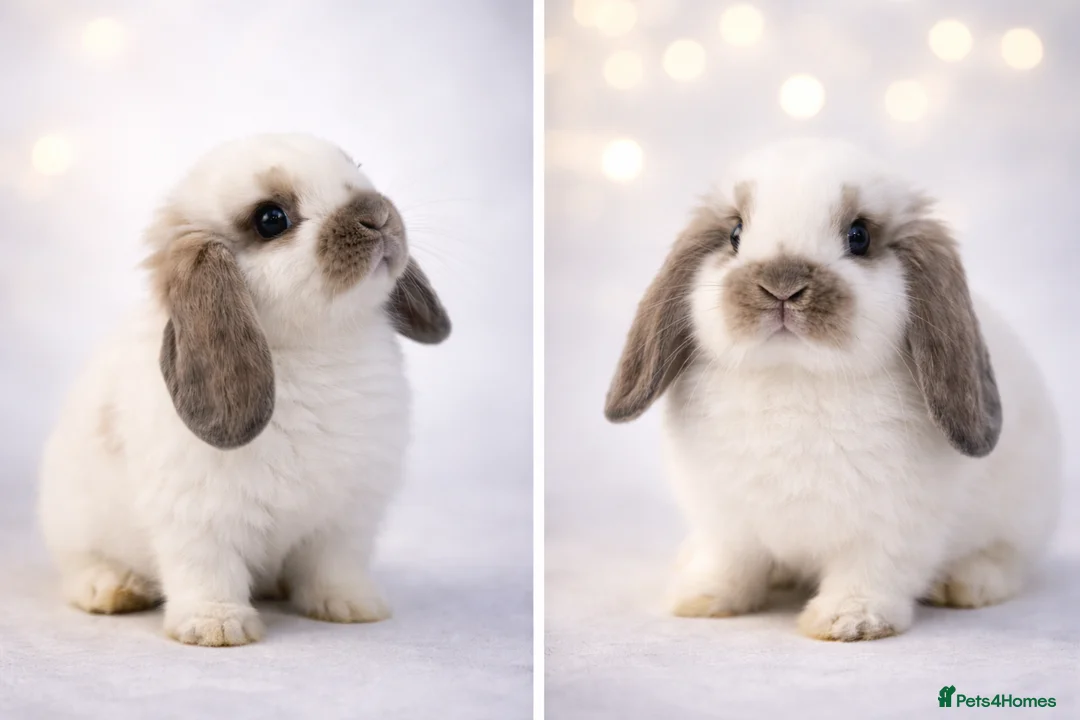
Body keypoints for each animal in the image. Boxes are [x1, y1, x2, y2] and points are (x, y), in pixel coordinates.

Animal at [38, 133, 451, 646]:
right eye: (271, 219)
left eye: (356, 167)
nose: (377, 215)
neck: (315, 345)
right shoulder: (199, 519)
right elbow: (207, 571)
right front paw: (216, 627)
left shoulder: (345, 517)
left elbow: (334, 566)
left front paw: (353, 608)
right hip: (72, 523)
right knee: (80, 565)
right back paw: (111, 590)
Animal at [604, 138, 1061, 641]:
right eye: (736, 233)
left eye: (858, 236)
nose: (781, 286)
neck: (793, 376)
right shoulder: (725, 521)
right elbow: (729, 564)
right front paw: (701, 600)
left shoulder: (892, 528)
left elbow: (870, 573)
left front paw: (849, 621)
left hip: (1021, 518)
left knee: (1006, 558)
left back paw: (969, 584)